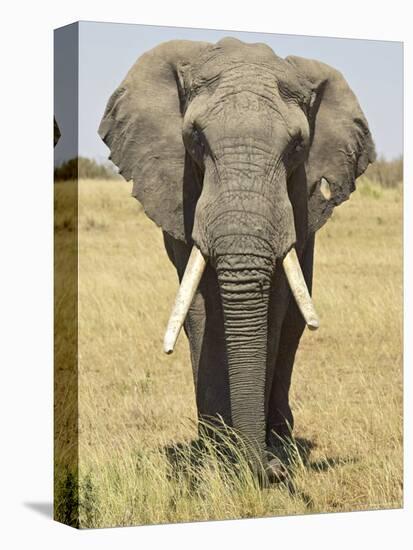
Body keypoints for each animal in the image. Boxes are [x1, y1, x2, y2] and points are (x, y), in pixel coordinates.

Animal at [98, 36, 374, 484]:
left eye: (298, 145)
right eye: (194, 137)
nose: (272, 471)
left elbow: (274, 306)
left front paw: (256, 455)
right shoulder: (182, 192)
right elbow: (199, 307)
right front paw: (218, 456)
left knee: (294, 322)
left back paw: (279, 439)